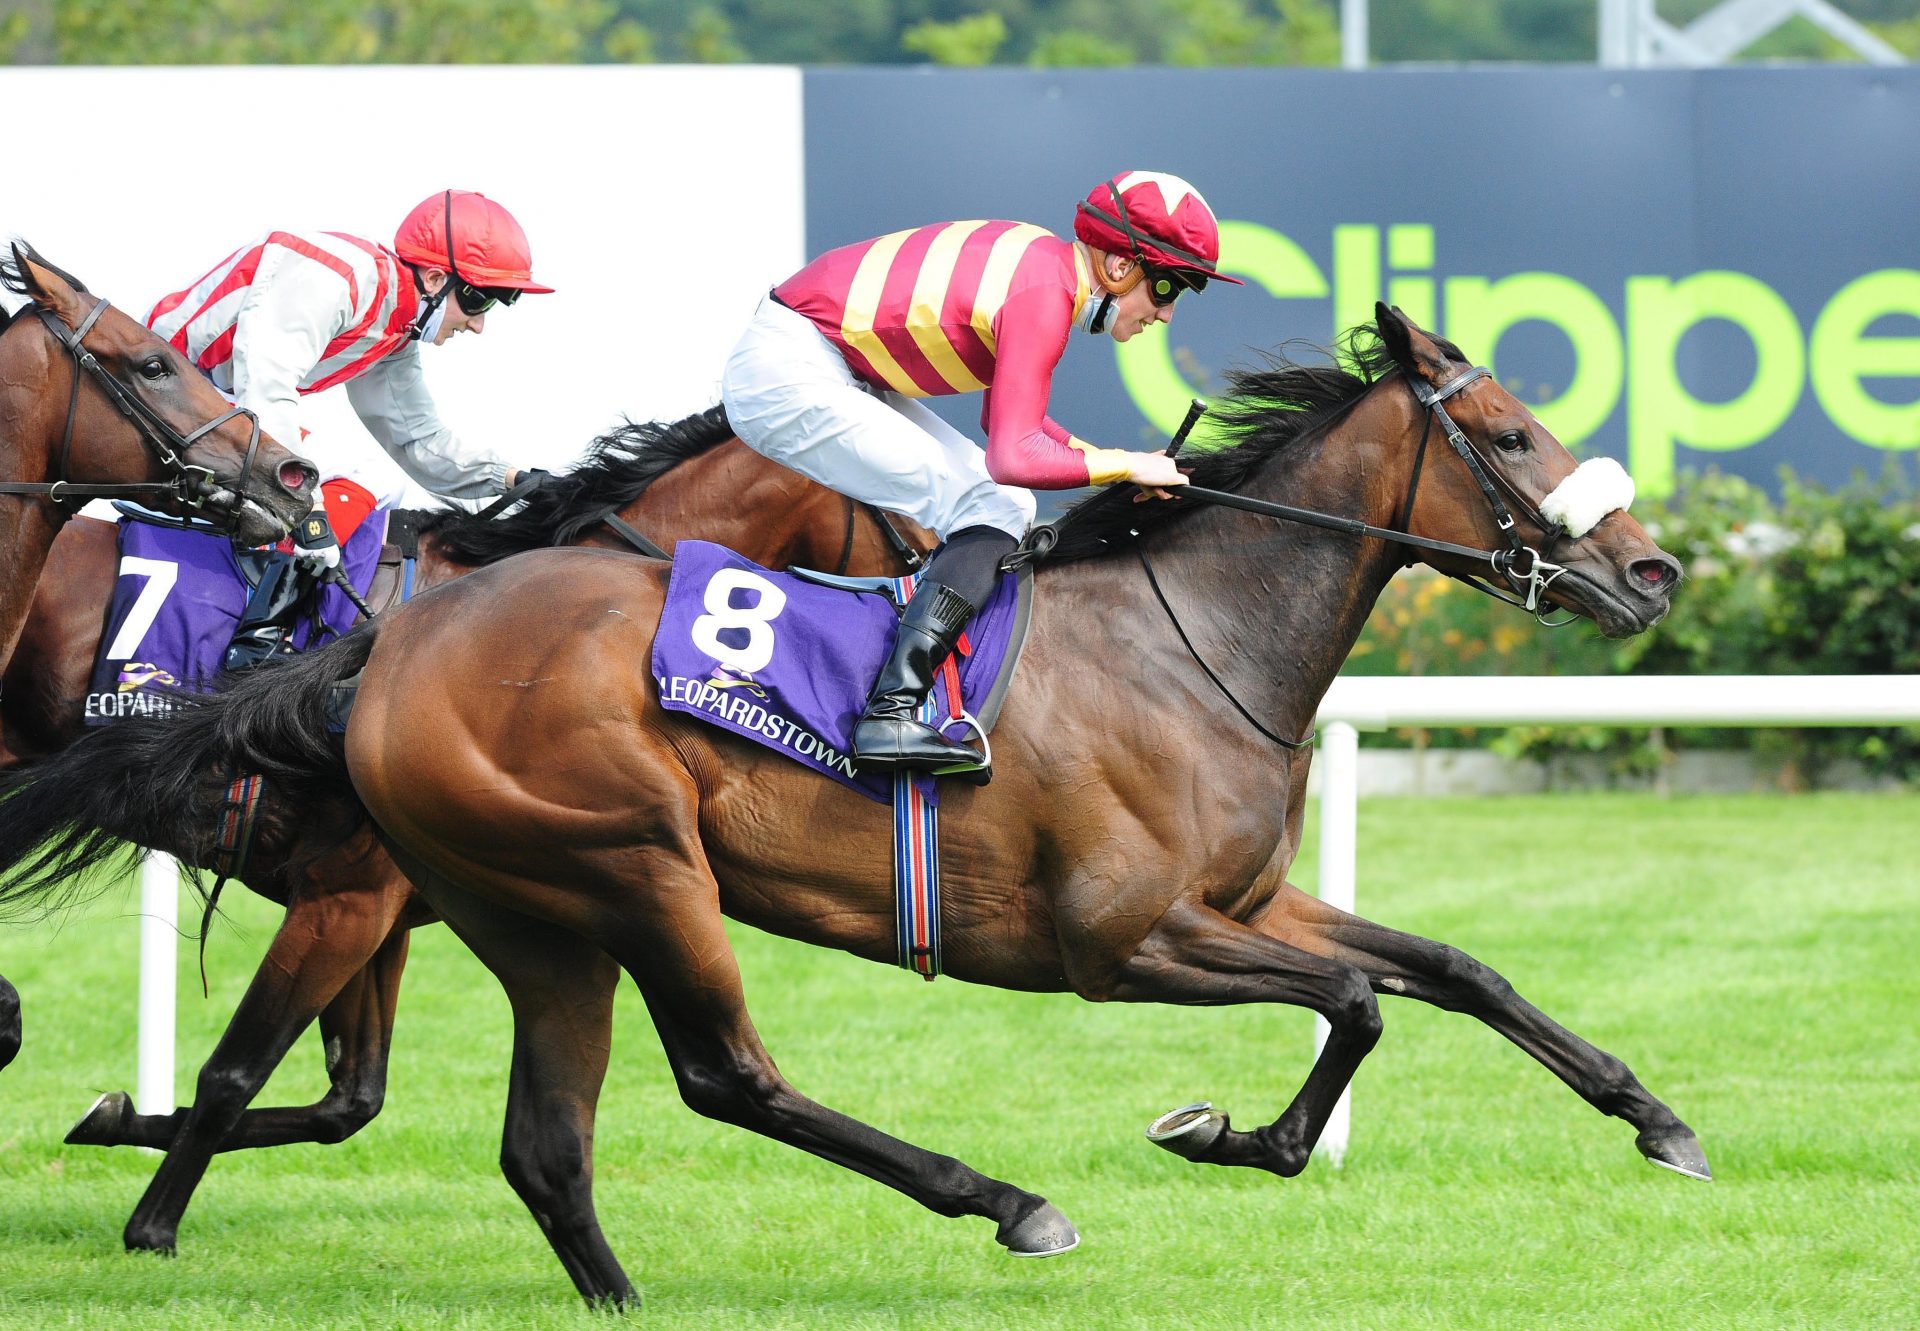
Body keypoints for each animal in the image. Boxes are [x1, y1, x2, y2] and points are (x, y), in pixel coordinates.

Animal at [1, 405, 929, 1244]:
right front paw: (152, 1223)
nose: (923, 581)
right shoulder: (340, 896)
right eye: (906, 518)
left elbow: (348, 1098)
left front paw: (120, 1118)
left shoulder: (371, 907)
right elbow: (238, 1072)